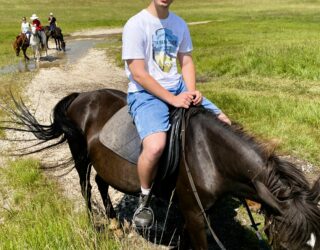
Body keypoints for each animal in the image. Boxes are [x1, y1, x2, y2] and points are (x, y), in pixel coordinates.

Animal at [2, 89, 320, 249]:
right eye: (287, 245)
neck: (209, 155)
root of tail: (79, 96)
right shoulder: (193, 211)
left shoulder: (198, 211)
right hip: (79, 154)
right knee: (86, 187)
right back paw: (95, 227)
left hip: (104, 162)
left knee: (102, 183)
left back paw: (115, 225)